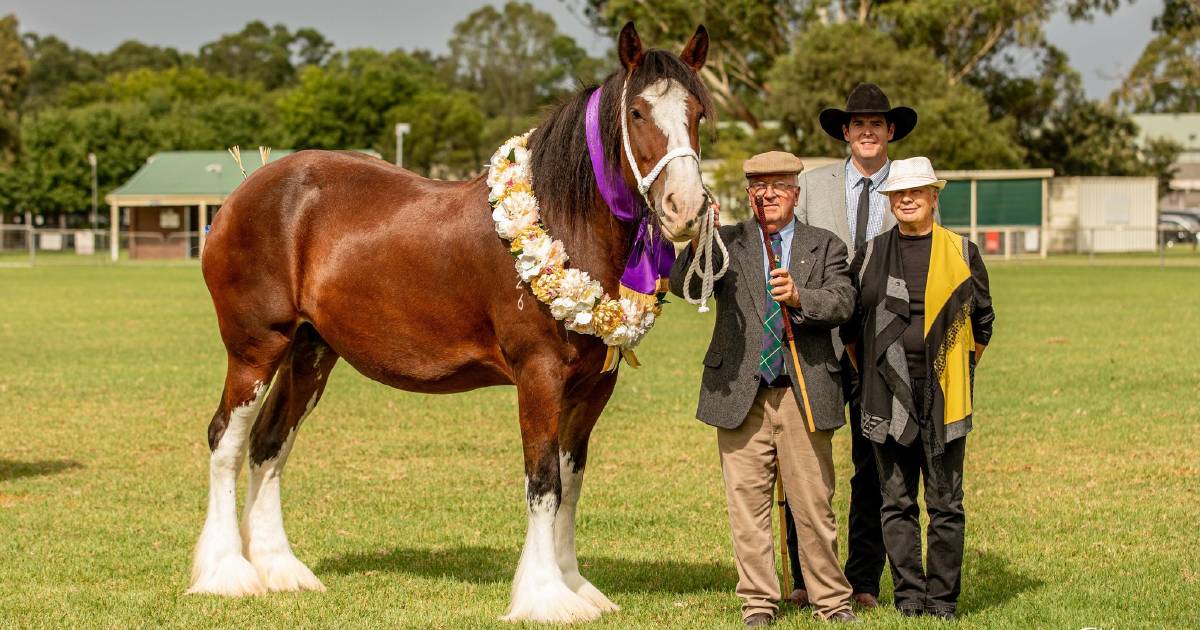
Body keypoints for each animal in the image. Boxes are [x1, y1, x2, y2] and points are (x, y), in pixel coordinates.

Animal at [189, 22, 710, 619]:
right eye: (640, 113)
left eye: (698, 112)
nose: (686, 208)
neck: (560, 220)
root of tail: (242, 194)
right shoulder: (538, 378)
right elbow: (544, 483)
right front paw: (545, 596)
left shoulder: (592, 389)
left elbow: (571, 485)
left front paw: (575, 587)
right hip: (255, 349)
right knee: (227, 440)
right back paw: (228, 573)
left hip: (310, 351)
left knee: (269, 443)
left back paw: (280, 570)